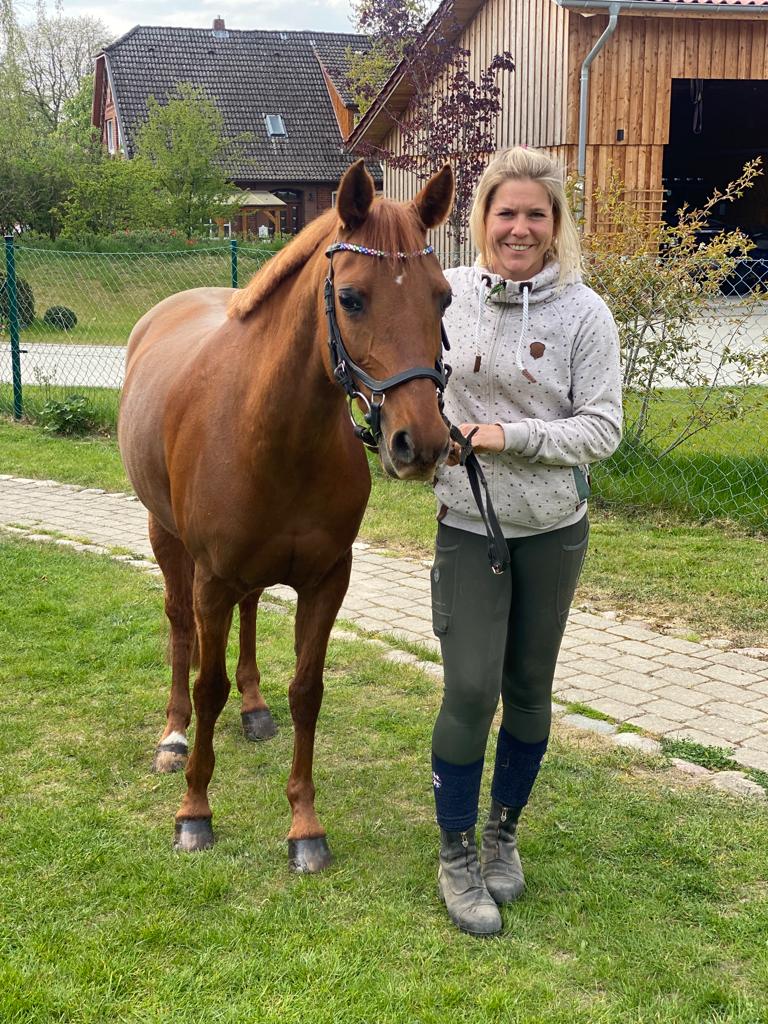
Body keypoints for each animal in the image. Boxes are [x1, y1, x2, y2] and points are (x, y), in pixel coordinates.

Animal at [119, 159, 454, 872]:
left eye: (442, 297)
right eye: (351, 298)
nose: (420, 444)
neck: (273, 428)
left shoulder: (328, 580)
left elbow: (307, 691)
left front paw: (305, 824)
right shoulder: (211, 578)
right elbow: (207, 683)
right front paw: (195, 813)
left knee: (249, 616)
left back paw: (254, 709)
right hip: (168, 541)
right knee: (180, 631)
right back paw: (173, 736)